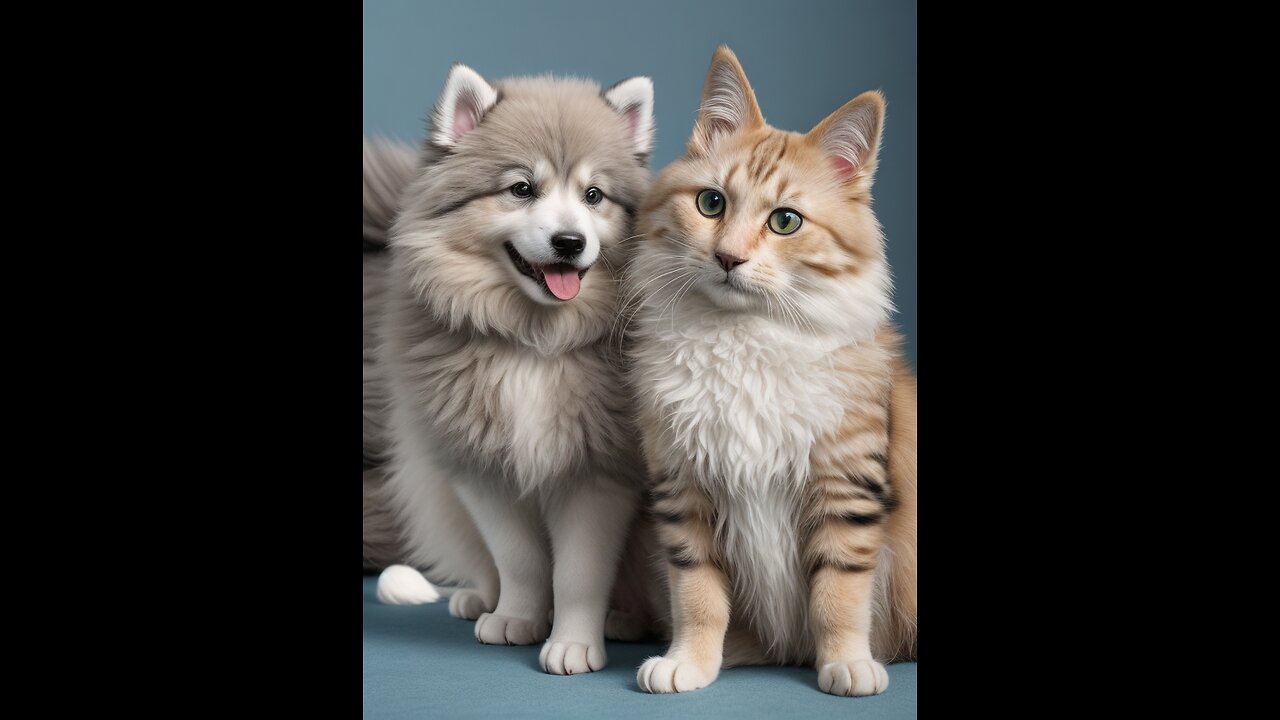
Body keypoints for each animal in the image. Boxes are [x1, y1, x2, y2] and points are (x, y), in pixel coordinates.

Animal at [624, 46, 916, 696]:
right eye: (711, 203)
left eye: (785, 221)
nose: (728, 258)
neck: (743, 338)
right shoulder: (683, 490)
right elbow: (697, 595)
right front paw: (689, 661)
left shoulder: (846, 489)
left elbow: (838, 596)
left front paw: (846, 664)